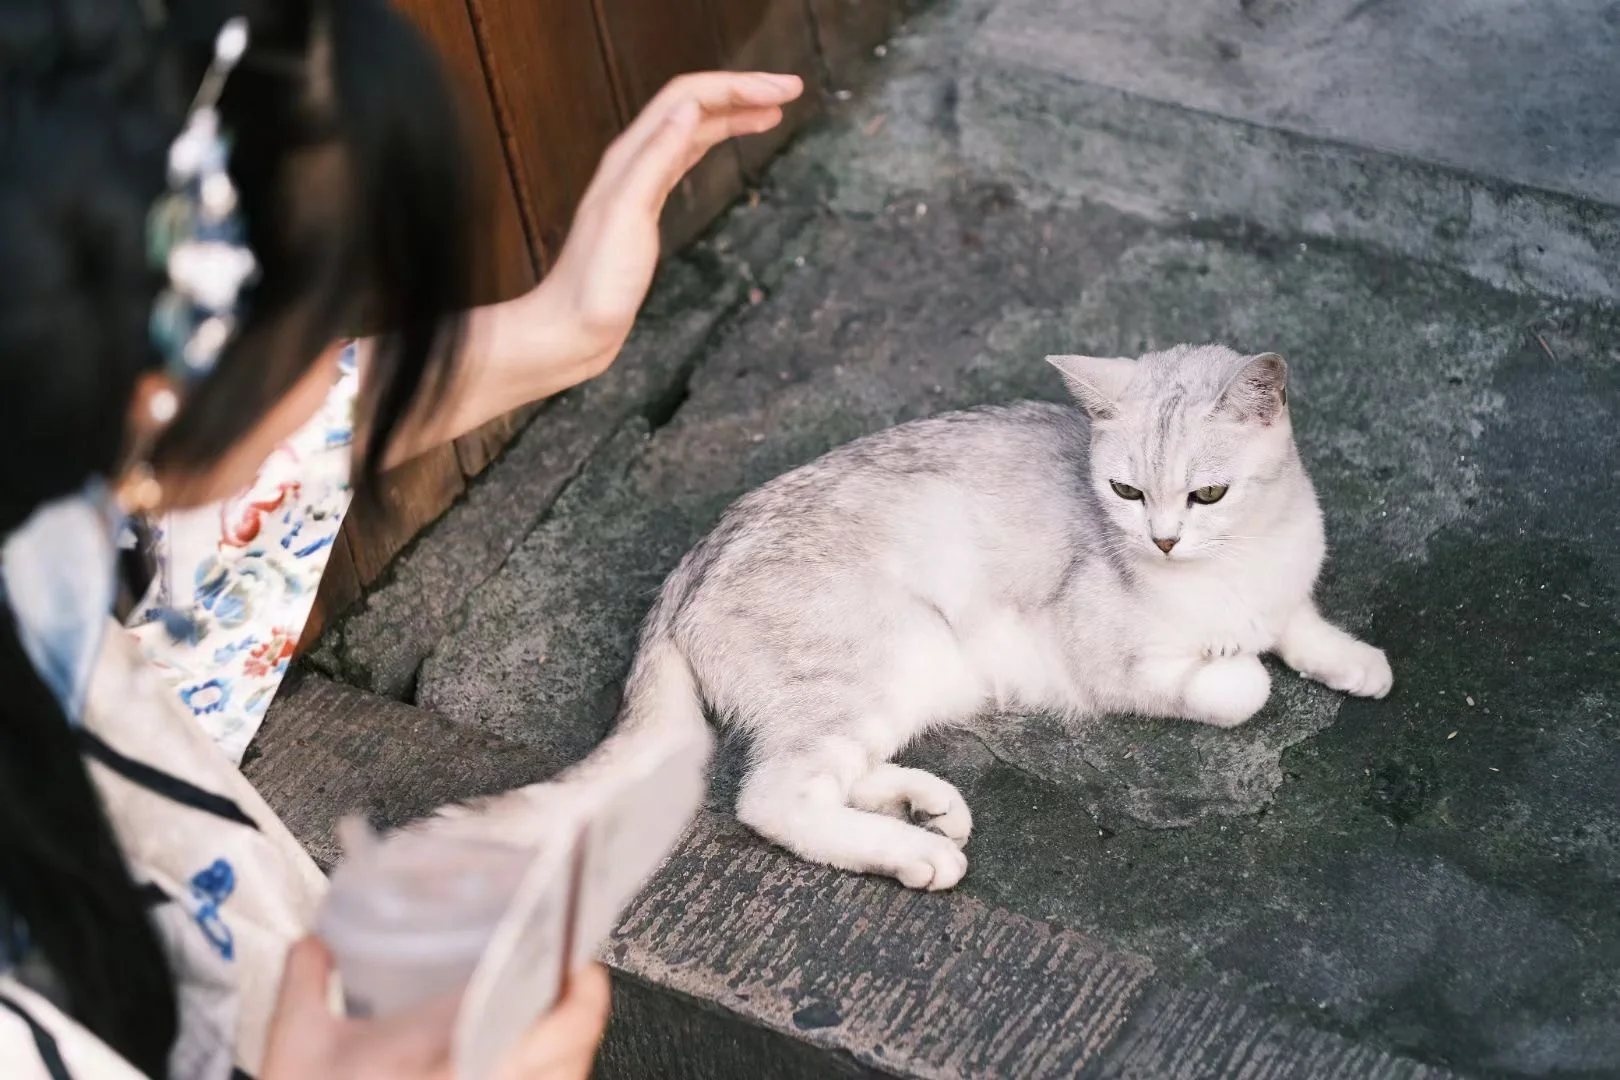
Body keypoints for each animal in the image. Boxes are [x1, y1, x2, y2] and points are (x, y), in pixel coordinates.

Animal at [576, 344, 1386, 887]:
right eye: (1125, 491)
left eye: (1208, 494)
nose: (1162, 539)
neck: (1237, 563)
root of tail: (687, 565)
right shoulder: (1107, 662)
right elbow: (1241, 687)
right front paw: (1236, 660)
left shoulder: (1283, 585)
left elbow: (1297, 620)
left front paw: (1353, 660)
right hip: (891, 654)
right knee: (774, 796)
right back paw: (918, 851)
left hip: (913, 676)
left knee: (826, 772)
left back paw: (921, 805)